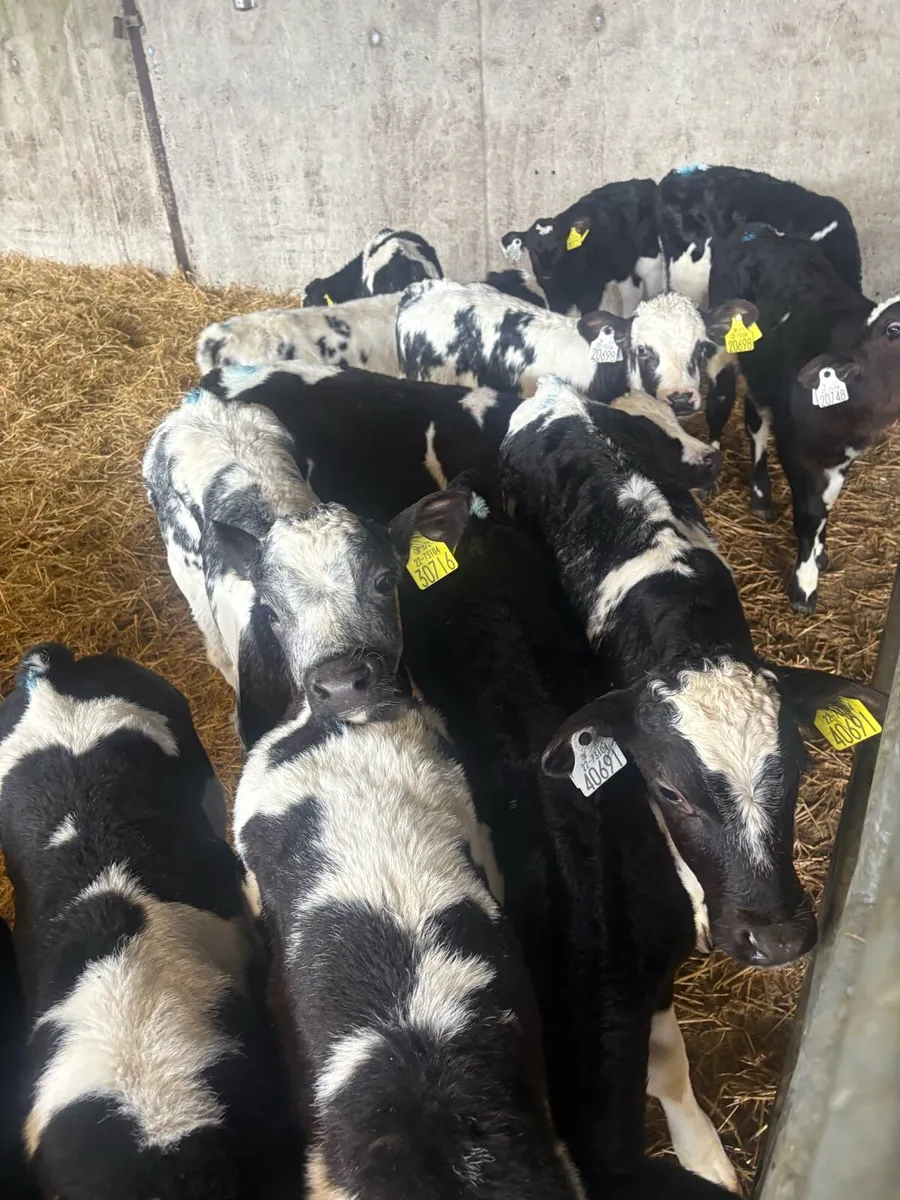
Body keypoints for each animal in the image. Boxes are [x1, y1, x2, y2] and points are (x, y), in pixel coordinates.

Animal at [500, 179, 662, 316]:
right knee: (631, 292)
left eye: (558, 248)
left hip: (649, 256)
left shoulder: (591, 290)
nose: (546, 274)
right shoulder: (554, 295)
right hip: (623, 267)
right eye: (532, 250)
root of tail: (642, 181)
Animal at [706, 225, 900, 611]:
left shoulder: (843, 456)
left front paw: (820, 552)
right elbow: (810, 512)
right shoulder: (796, 448)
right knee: (737, 414)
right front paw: (805, 583)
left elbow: (827, 502)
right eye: (894, 330)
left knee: (754, 415)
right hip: (725, 349)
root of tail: (757, 230)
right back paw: (757, 493)